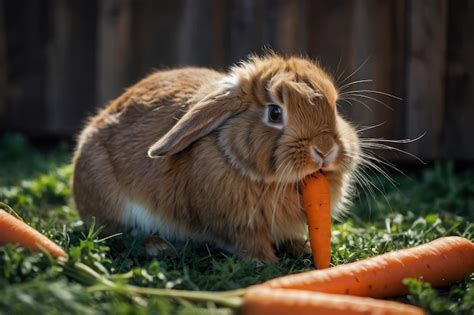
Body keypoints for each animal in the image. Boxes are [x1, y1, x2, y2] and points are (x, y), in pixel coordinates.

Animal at [71, 54, 360, 264]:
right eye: (275, 113)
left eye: (334, 107)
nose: (324, 150)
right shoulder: (235, 227)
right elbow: (251, 246)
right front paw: (269, 264)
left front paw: (304, 249)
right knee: (118, 233)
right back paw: (158, 246)